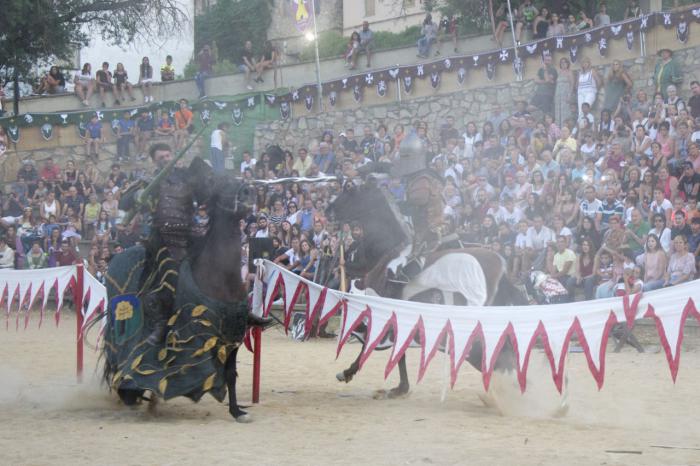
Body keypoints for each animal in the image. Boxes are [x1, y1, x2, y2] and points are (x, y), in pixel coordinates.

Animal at [102, 176, 258, 422]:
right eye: (222, 184)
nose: (247, 193)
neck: (221, 278)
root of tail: (115, 258)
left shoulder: (232, 337)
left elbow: (231, 374)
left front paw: (236, 411)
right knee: (120, 356)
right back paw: (129, 394)